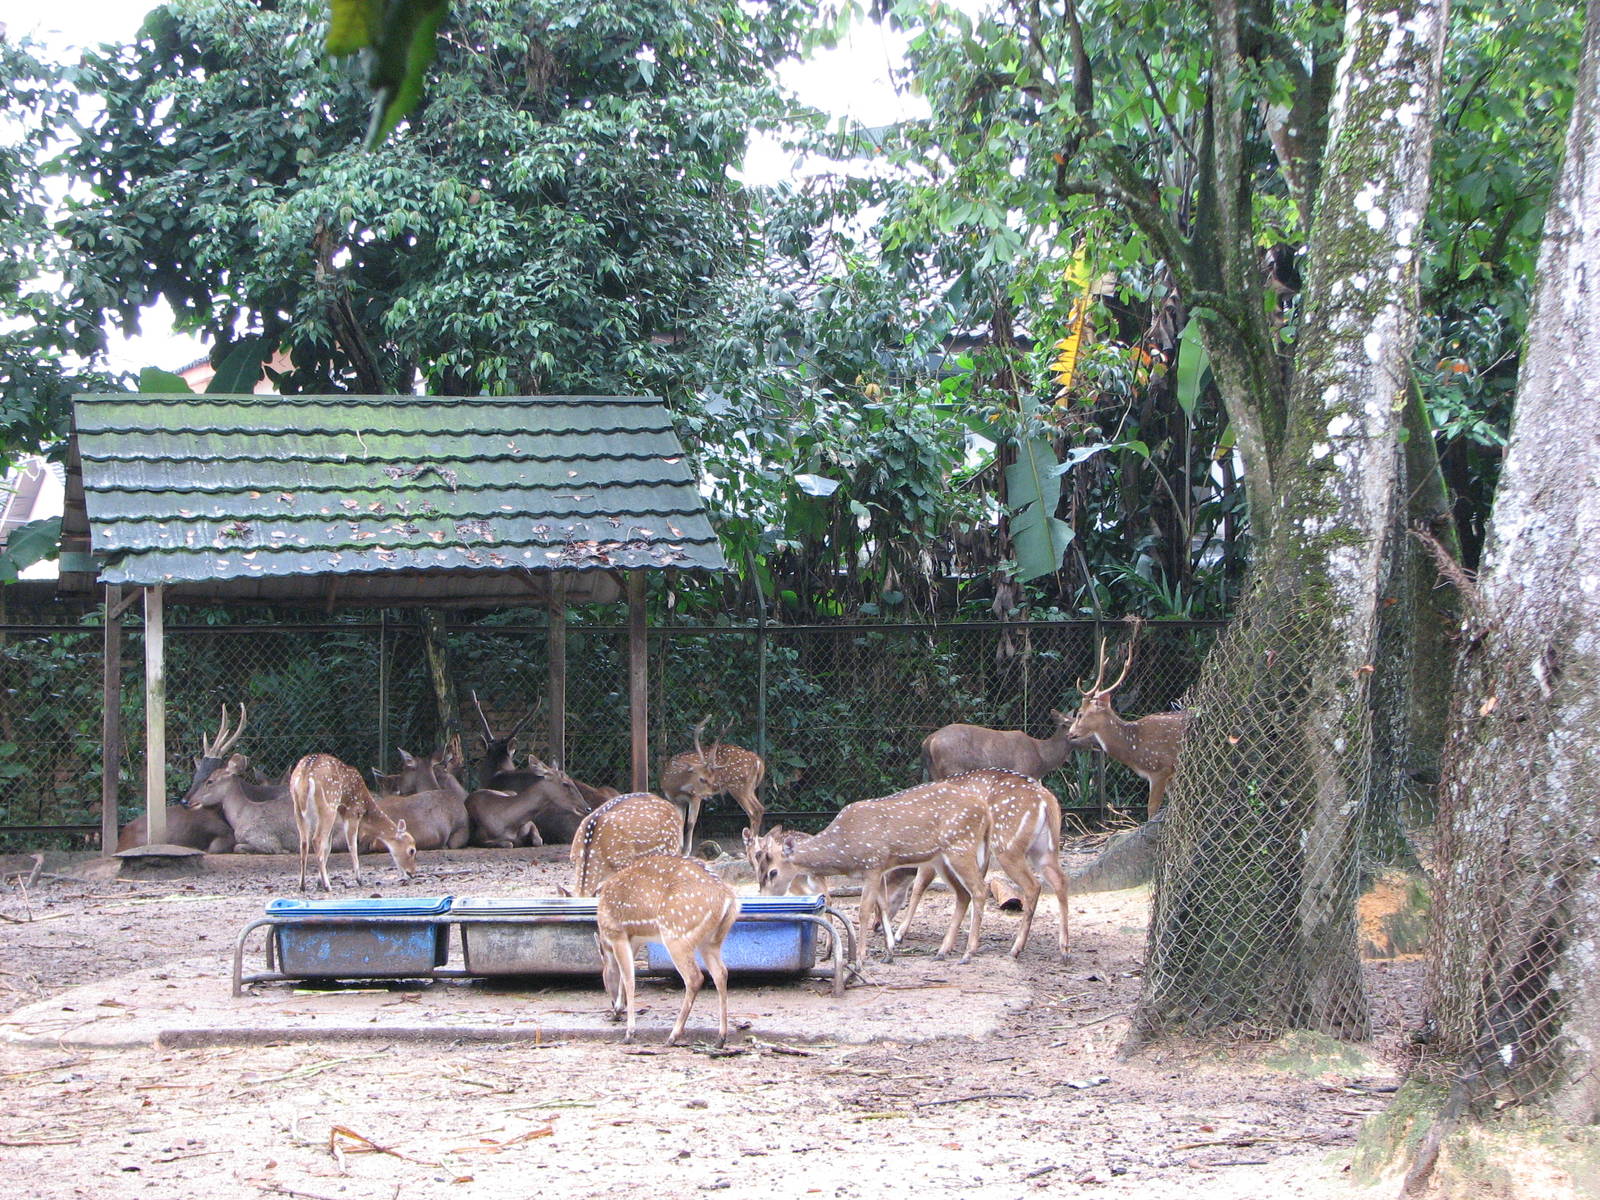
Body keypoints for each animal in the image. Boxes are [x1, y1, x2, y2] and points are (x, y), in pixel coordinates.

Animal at [288, 753, 417, 892]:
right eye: (411, 850)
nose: (412, 873)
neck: (365, 805)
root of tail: (305, 774)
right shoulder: (352, 812)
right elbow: (352, 845)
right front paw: (359, 880)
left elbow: (328, 846)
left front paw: (318, 882)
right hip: (329, 805)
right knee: (316, 840)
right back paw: (328, 886)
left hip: (298, 809)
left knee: (304, 843)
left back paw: (303, 885)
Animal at [594, 853, 739, 1046]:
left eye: (603, 979)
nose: (612, 1005)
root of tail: (728, 898)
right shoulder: (635, 938)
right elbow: (627, 975)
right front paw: (618, 1011)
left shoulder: (617, 933)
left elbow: (629, 979)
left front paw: (629, 1032)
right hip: (711, 942)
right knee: (721, 973)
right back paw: (720, 1038)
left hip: (676, 934)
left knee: (695, 977)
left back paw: (673, 1036)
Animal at [659, 717, 766, 852]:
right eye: (701, 779)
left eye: (713, 778)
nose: (709, 797)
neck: (674, 786)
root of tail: (759, 762)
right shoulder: (676, 801)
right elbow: (679, 823)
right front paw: (679, 849)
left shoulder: (695, 797)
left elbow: (690, 823)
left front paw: (687, 851)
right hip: (749, 788)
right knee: (760, 808)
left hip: (739, 787)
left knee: (753, 811)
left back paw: (749, 846)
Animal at [756, 778, 992, 968]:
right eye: (759, 872)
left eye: (772, 872)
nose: (764, 900)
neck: (845, 848)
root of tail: (985, 810)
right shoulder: (877, 870)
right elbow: (883, 906)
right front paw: (889, 952)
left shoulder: (872, 865)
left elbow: (864, 910)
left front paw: (861, 958)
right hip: (941, 859)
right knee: (963, 894)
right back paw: (943, 951)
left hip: (960, 846)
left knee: (980, 890)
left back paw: (968, 953)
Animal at [1067, 634, 1190, 819]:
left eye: (1080, 714)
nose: (1069, 733)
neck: (1133, 746)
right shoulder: (1170, 774)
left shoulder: (1160, 768)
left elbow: (1152, 808)